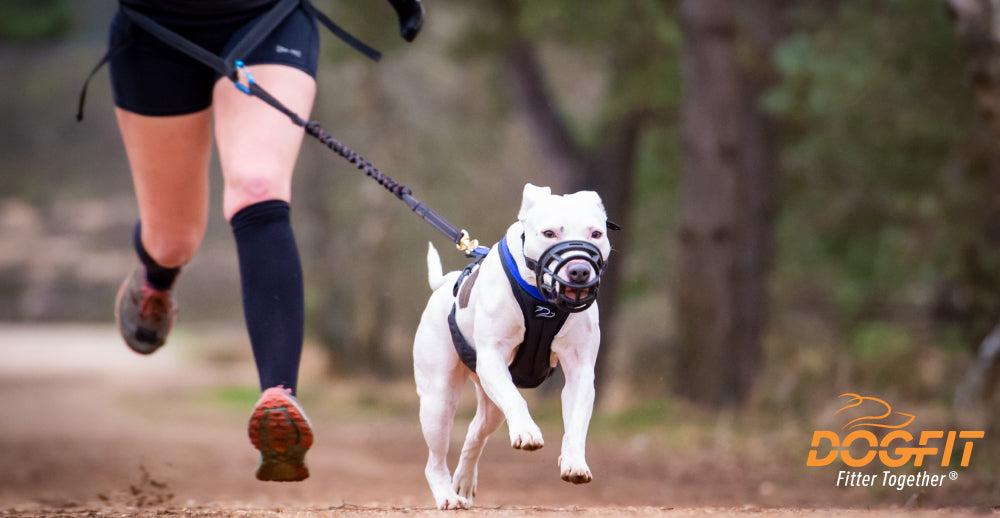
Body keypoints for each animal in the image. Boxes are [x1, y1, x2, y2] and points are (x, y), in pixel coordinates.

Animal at [408, 184, 608, 512]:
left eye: (596, 233)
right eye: (549, 233)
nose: (579, 270)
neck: (542, 298)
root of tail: (444, 286)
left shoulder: (580, 370)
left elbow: (577, 419)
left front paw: (574, 461)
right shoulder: (492, 358)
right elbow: (518, 401)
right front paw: (527, 431)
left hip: (490, 405)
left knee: (475, 433)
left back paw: (463, 481)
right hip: (439, 400)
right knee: (434, 460)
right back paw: (448, 495)